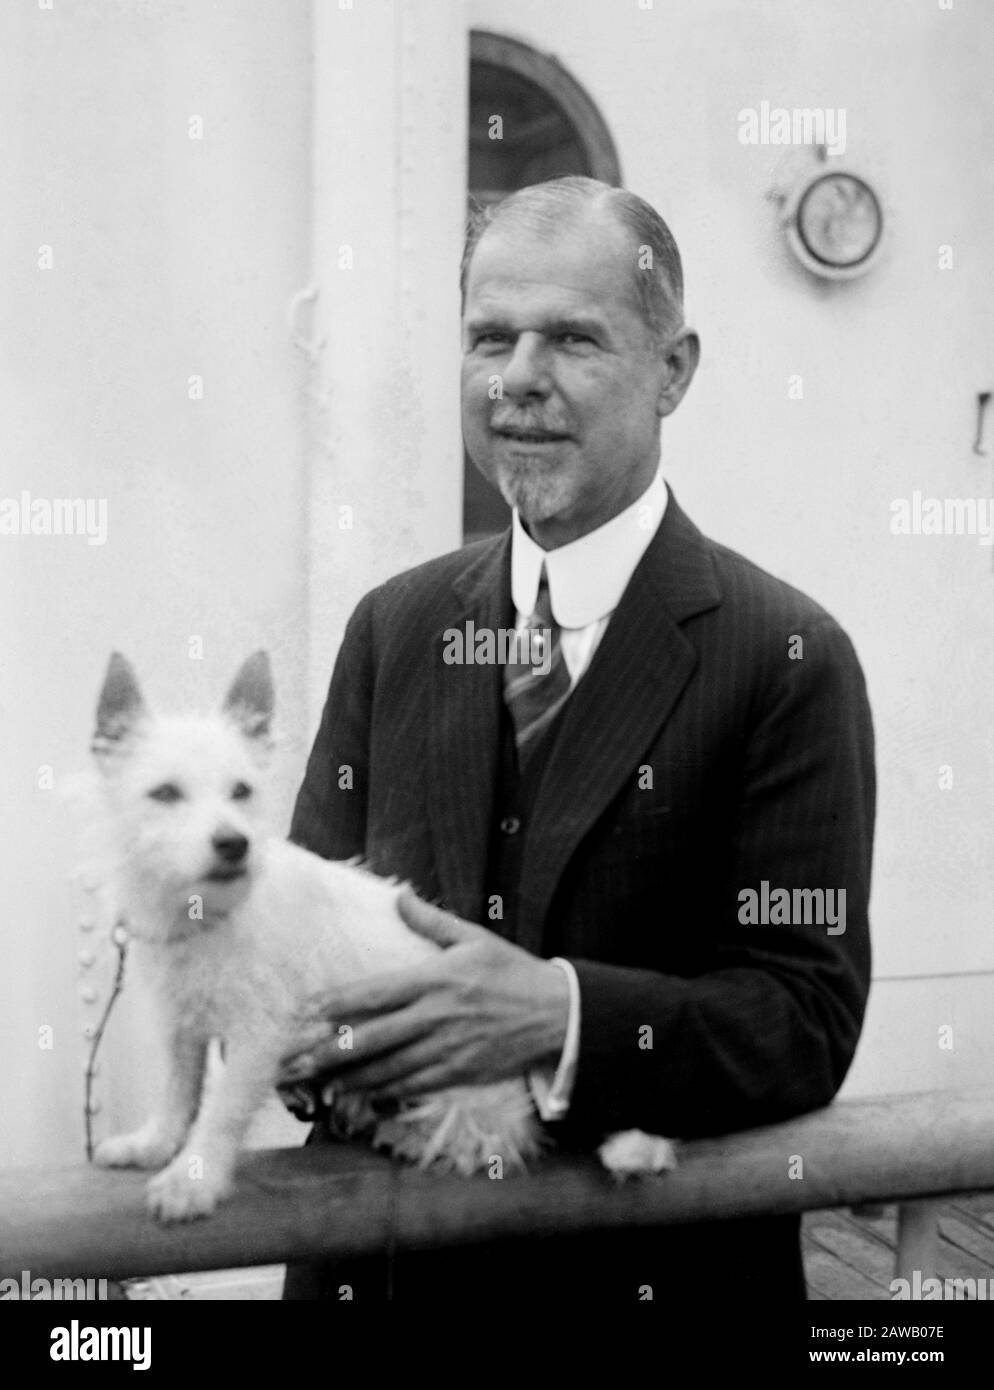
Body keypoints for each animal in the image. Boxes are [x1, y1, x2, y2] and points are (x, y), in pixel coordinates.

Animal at [89, 650, 675, 1217]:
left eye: (241, 791)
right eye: (165, 794)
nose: (235, 844)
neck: (207, 913)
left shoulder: (262, 1033)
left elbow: (222, 1110)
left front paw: (195, 1180)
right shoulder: (182, 1025)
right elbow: (178, 1091)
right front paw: (155, 1145)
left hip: (467, 1092)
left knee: (492, 1140)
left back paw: (412, 1138)